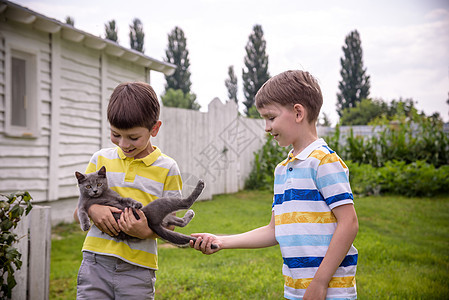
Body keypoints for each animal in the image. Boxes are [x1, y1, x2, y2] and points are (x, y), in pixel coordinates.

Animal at [75, 165, 214, 247]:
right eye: (88, 186)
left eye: (99, 184)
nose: (94, 191)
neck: (100, 196)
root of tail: (153, 224)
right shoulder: (82, 205)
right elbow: (81, 213)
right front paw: (85, 225)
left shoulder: (118, 198)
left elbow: (127, 199)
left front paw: (137, 204)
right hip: (160, 204)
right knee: (185, 203)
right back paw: (200, 186)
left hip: (164, 213)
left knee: (180, 221)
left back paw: (190, 213)